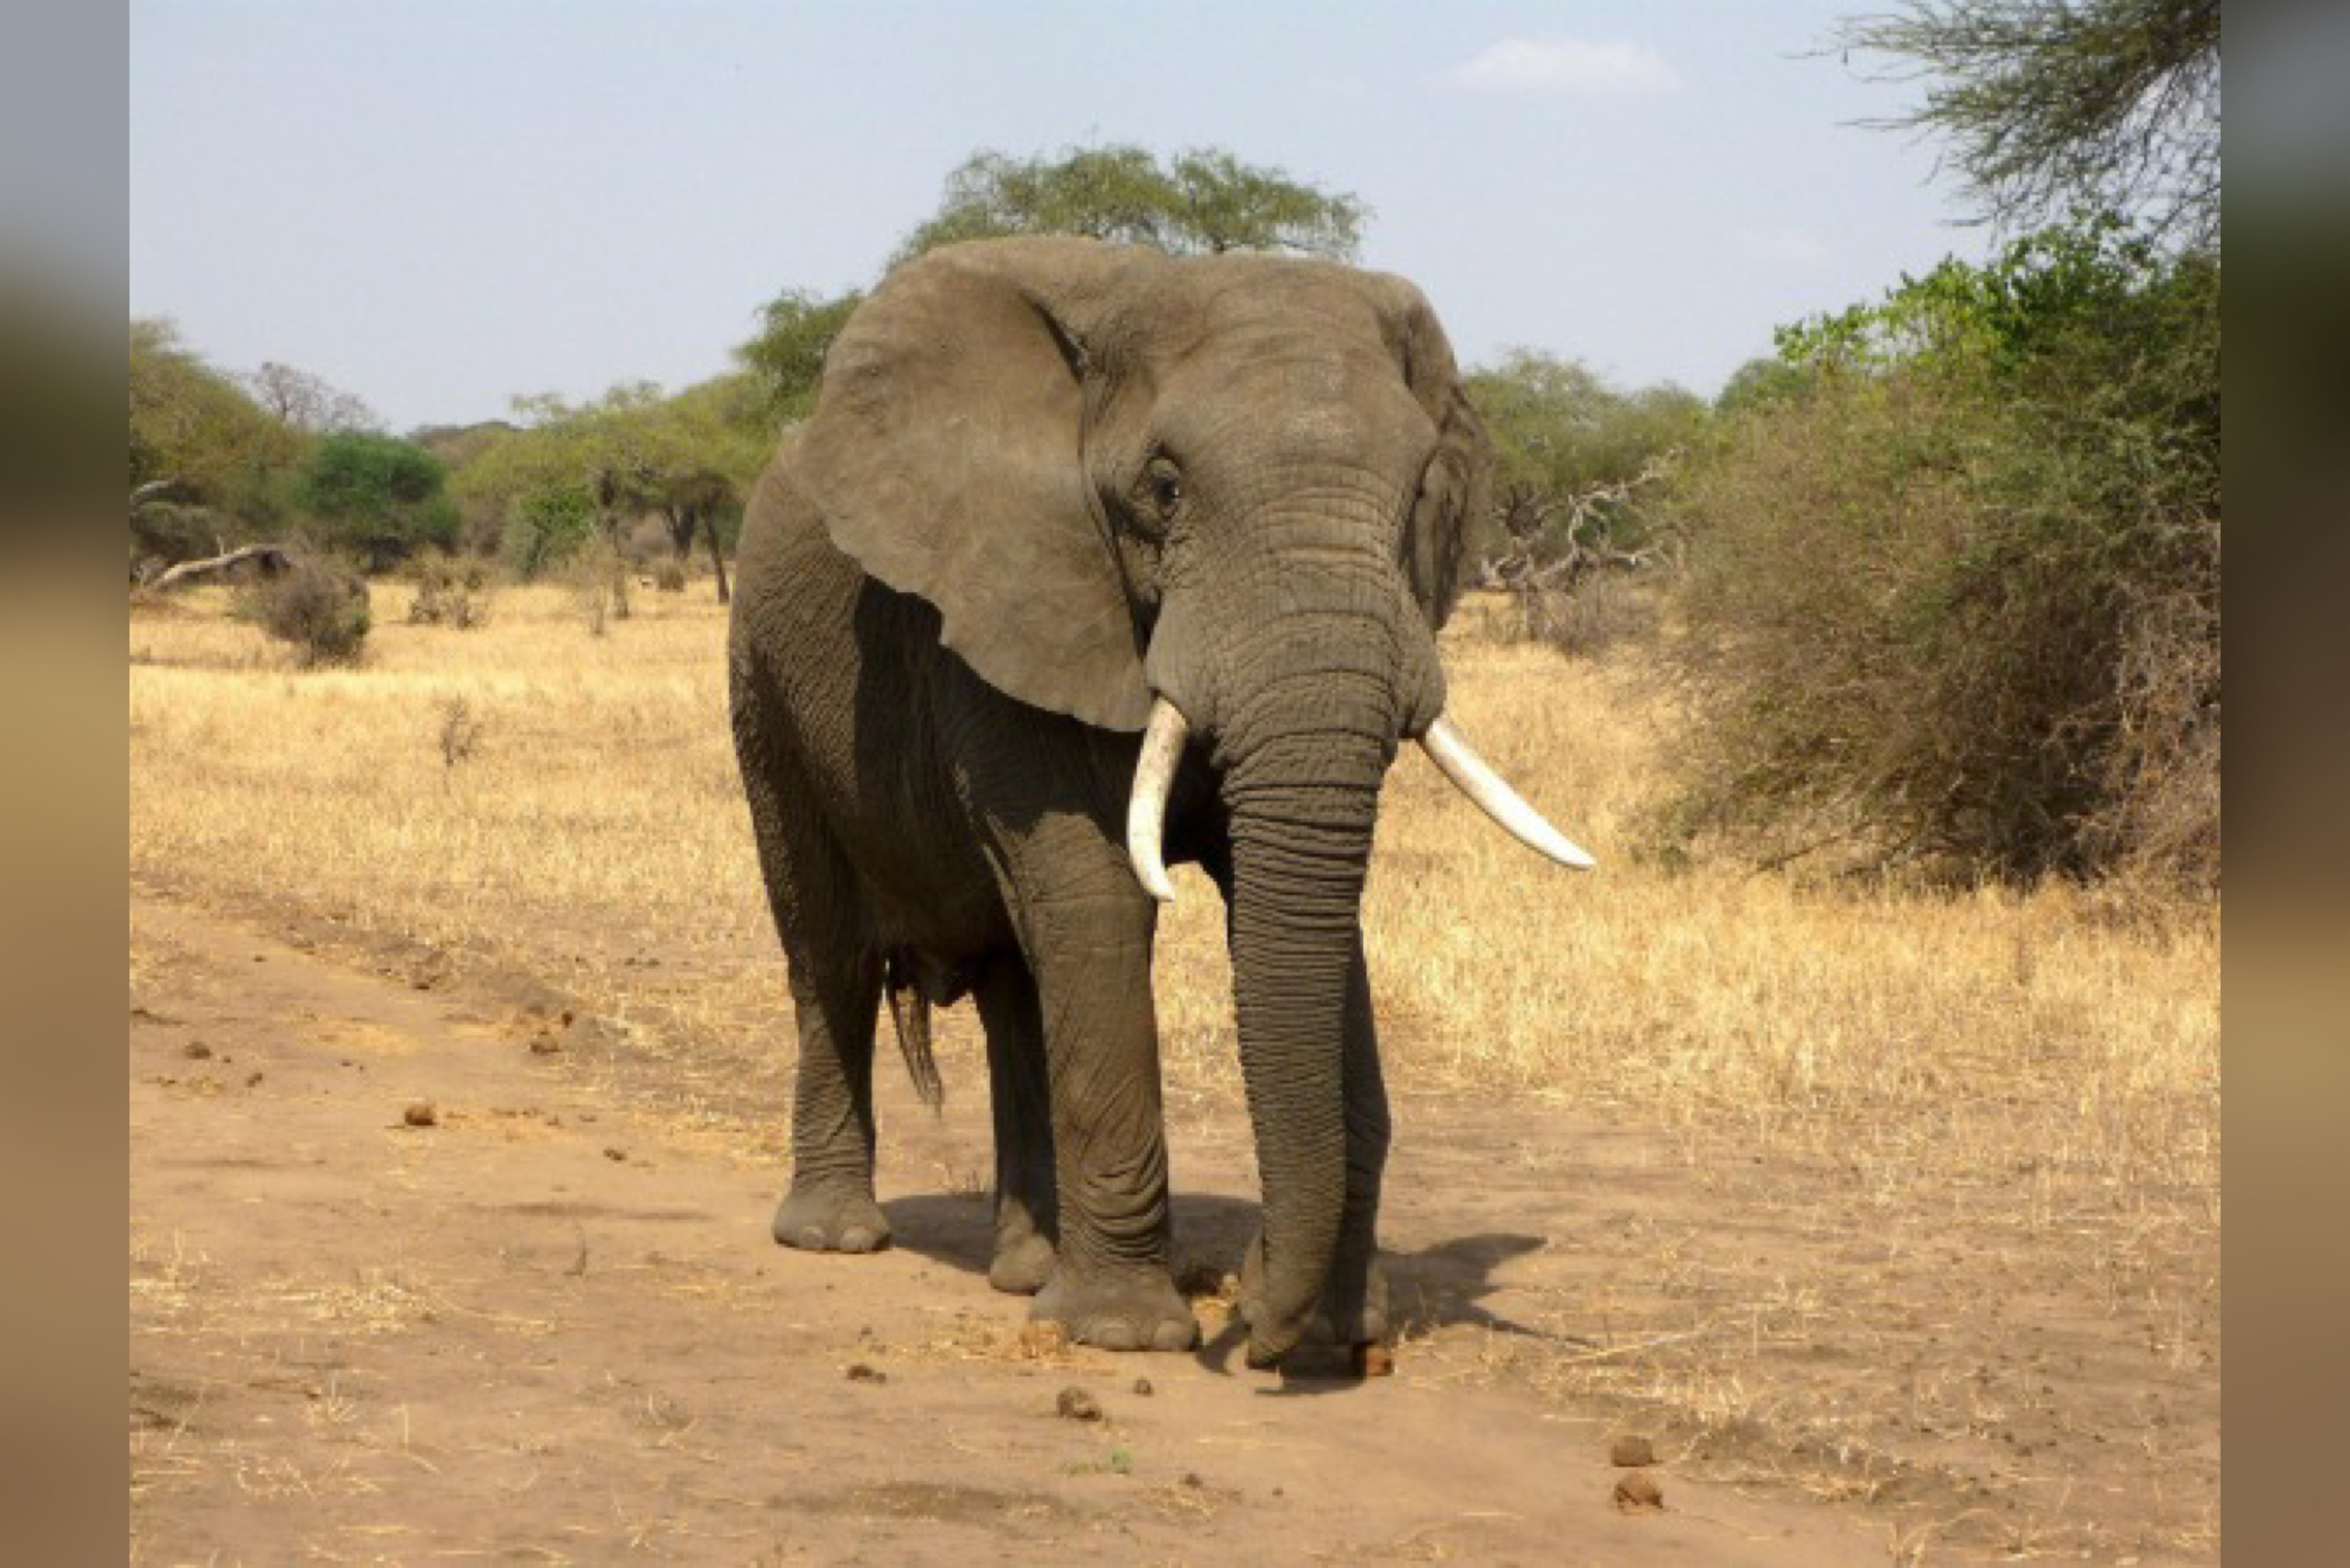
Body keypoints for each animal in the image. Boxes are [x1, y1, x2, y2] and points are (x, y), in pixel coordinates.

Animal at [724, 236, 1588, 1372]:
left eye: (1416, 497)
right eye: (1166, 487)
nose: (1256, 1325)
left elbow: (1289, 911)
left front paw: (1329, 1330)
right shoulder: (1014, 599)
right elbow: (1100, 898)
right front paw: (1127, 1334)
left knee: (1016, 980)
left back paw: (1027, 1271)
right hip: (762, 680)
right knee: (828, 948)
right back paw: (836, 1236)